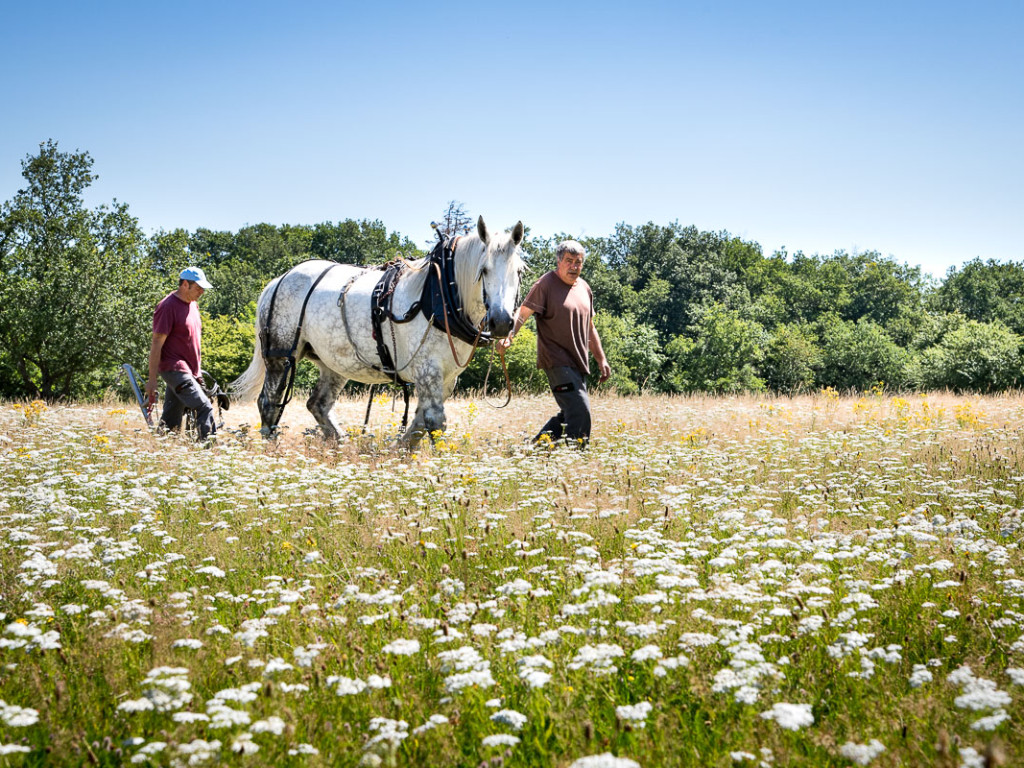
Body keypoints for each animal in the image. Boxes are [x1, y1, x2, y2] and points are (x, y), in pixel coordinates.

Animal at [229, 217, 524, 448]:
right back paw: (272, 450)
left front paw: (398, 452)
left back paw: (341, 443)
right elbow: (434, 422)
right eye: (483, 270)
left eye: (519, 272)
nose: (501, 322)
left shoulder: (447, 377)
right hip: (279, 355)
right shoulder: (427, 370)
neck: (440, 294)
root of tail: (278, 280)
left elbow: (419, 422)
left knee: (318, 404)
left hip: (332, 363)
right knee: (269, 403)